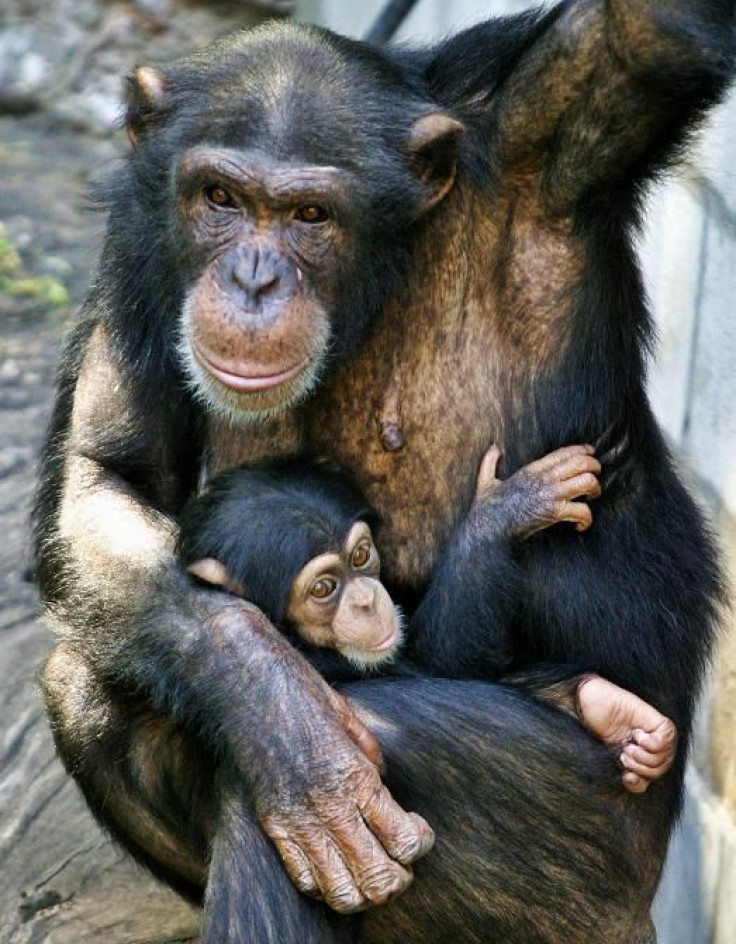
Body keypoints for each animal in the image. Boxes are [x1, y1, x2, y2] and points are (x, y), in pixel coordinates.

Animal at [178, 446, 672, 792]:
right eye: (323, 588)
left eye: (361, 556)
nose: (365, 601)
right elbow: (448, 663)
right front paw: (504, 511)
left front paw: (615, 714)